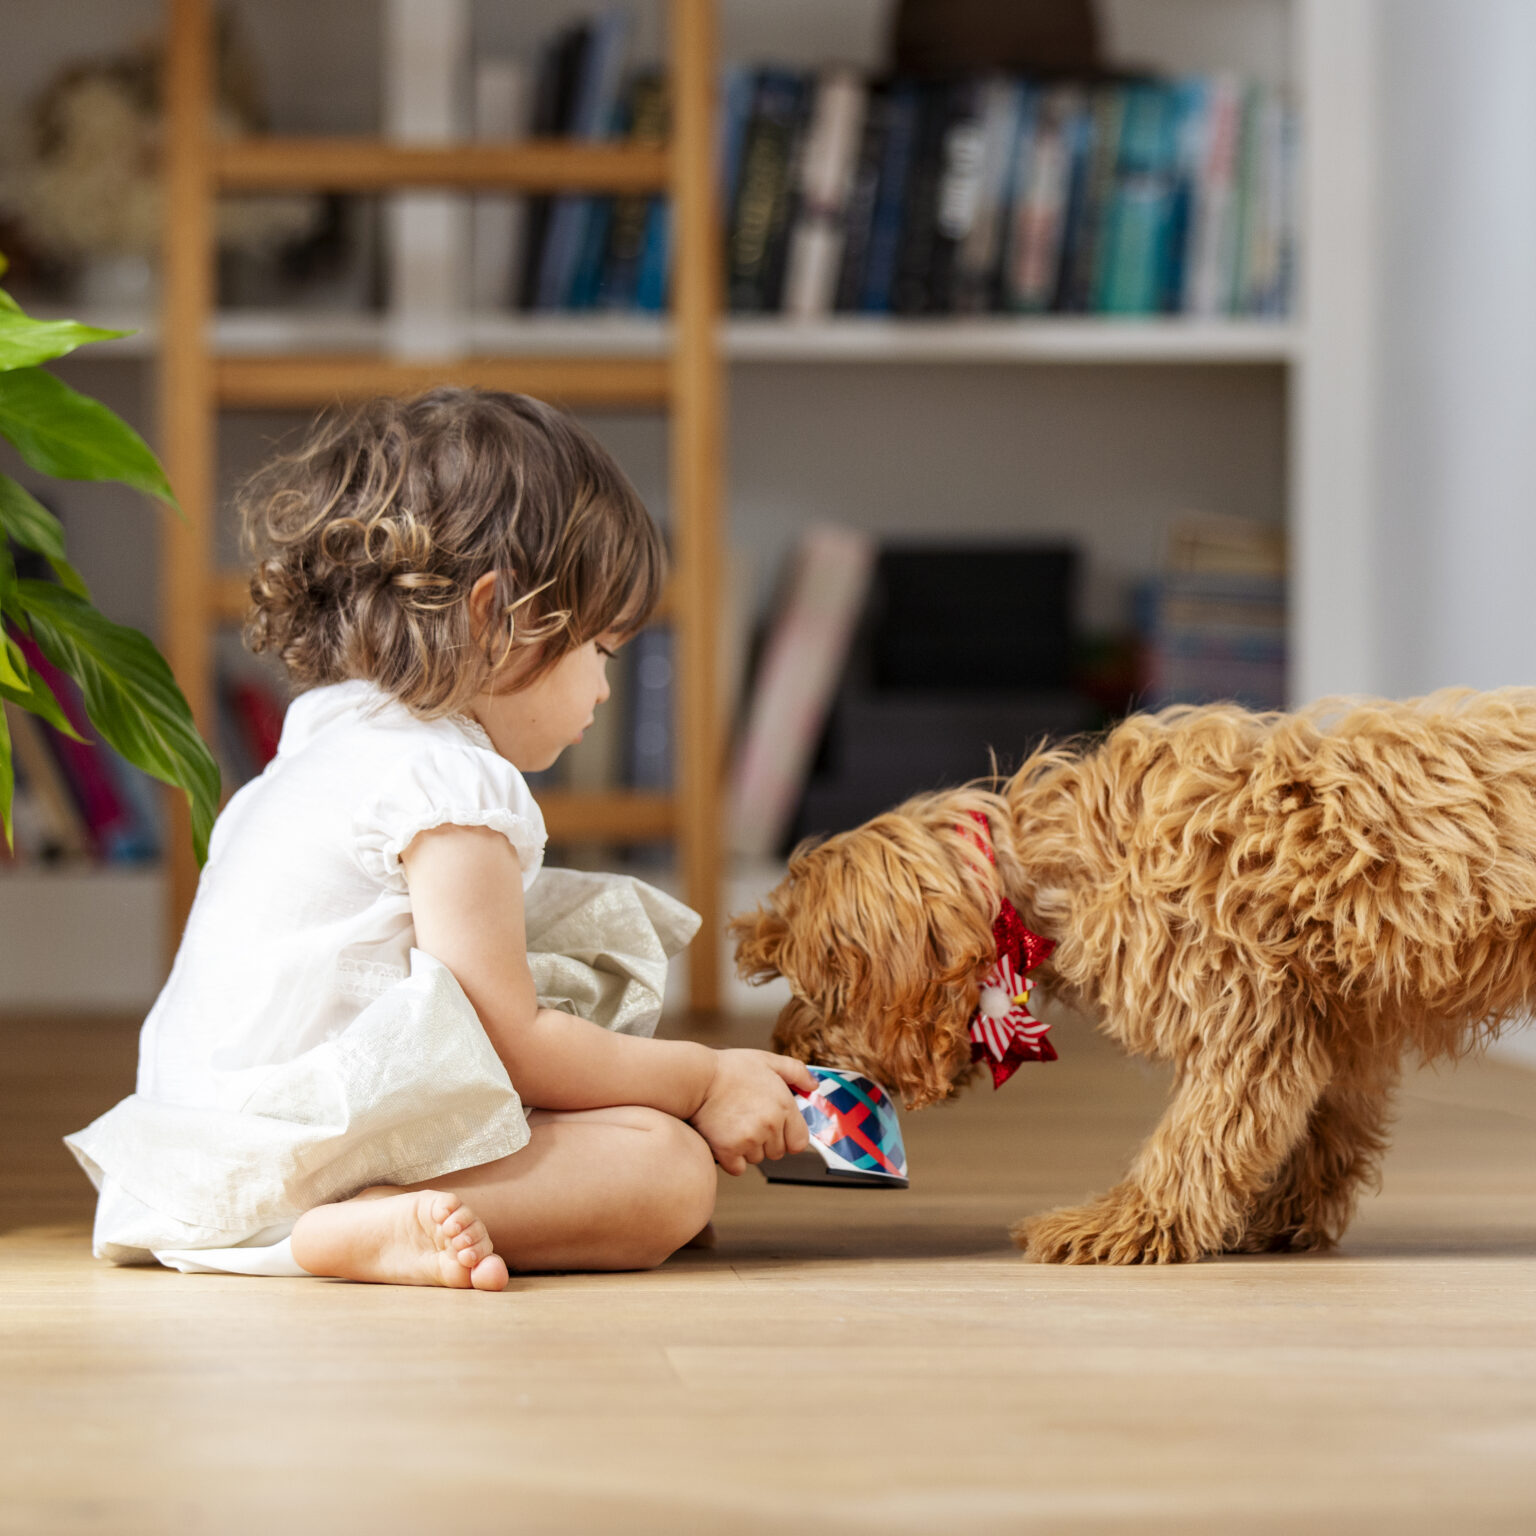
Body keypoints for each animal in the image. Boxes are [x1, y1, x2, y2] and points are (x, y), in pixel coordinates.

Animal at [731, 691, 1536, 1265]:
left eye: (814, 987)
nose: (787, 1049)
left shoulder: (1243, 1017)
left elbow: (1200, 1137)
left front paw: (1130, 1224)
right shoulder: (1340, 1026)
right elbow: (1322, 1132)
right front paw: (1271, 1219)